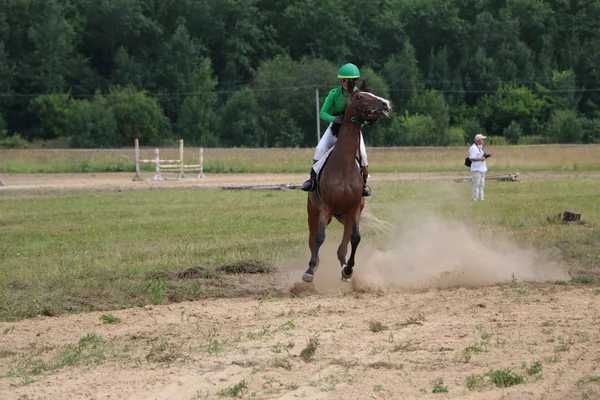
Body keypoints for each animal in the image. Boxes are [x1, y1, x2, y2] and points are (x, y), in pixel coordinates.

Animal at [302, 81, 392, 282]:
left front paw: (349, 269)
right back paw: (314, 265)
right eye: (359, 96)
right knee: (313, 237)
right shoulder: (325, 207)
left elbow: (356, 238)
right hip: (314, 212)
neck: (343, 164)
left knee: (343, 244)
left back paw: (344, 267)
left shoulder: (355, 208)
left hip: (345, 216)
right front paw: (310, 270)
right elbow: (319, 237)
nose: (386, 104)